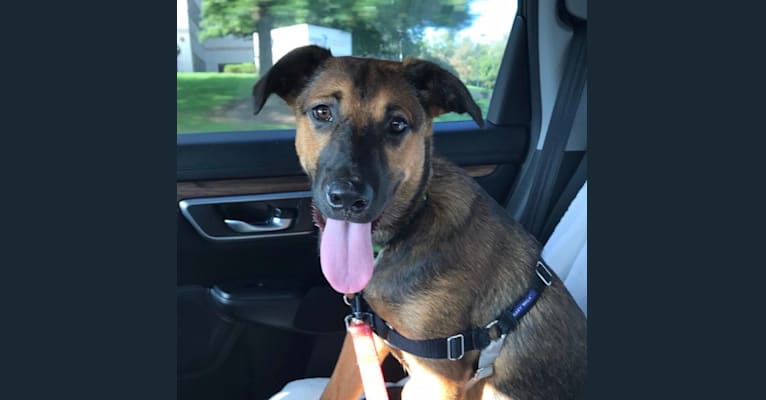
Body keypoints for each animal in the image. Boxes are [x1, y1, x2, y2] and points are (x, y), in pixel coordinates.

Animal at [254, 46, 588, 400]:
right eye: (322, 112)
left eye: (397, 124)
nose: (347, 198)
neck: (410, 225)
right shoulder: (367, 334)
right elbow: (334, 389)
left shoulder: (438, 376)